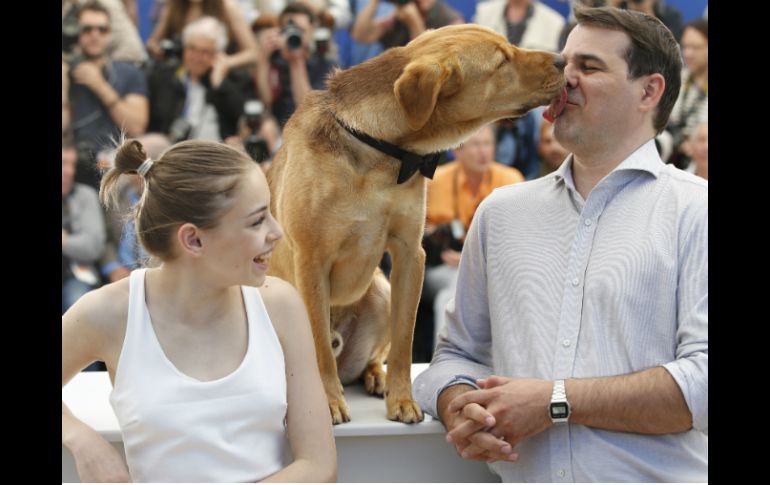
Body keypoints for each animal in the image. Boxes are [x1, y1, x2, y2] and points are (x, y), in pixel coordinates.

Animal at [268, 23, 560, 424]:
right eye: (502, 61)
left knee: (371, 357)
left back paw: (375, 376)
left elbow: (404, 340)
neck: (380, 149)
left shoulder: (409, 253)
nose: (563, 59)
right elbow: (318, 347)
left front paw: (402, 399)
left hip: (380, 291)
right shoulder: (311, 259)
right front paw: (327, 401)